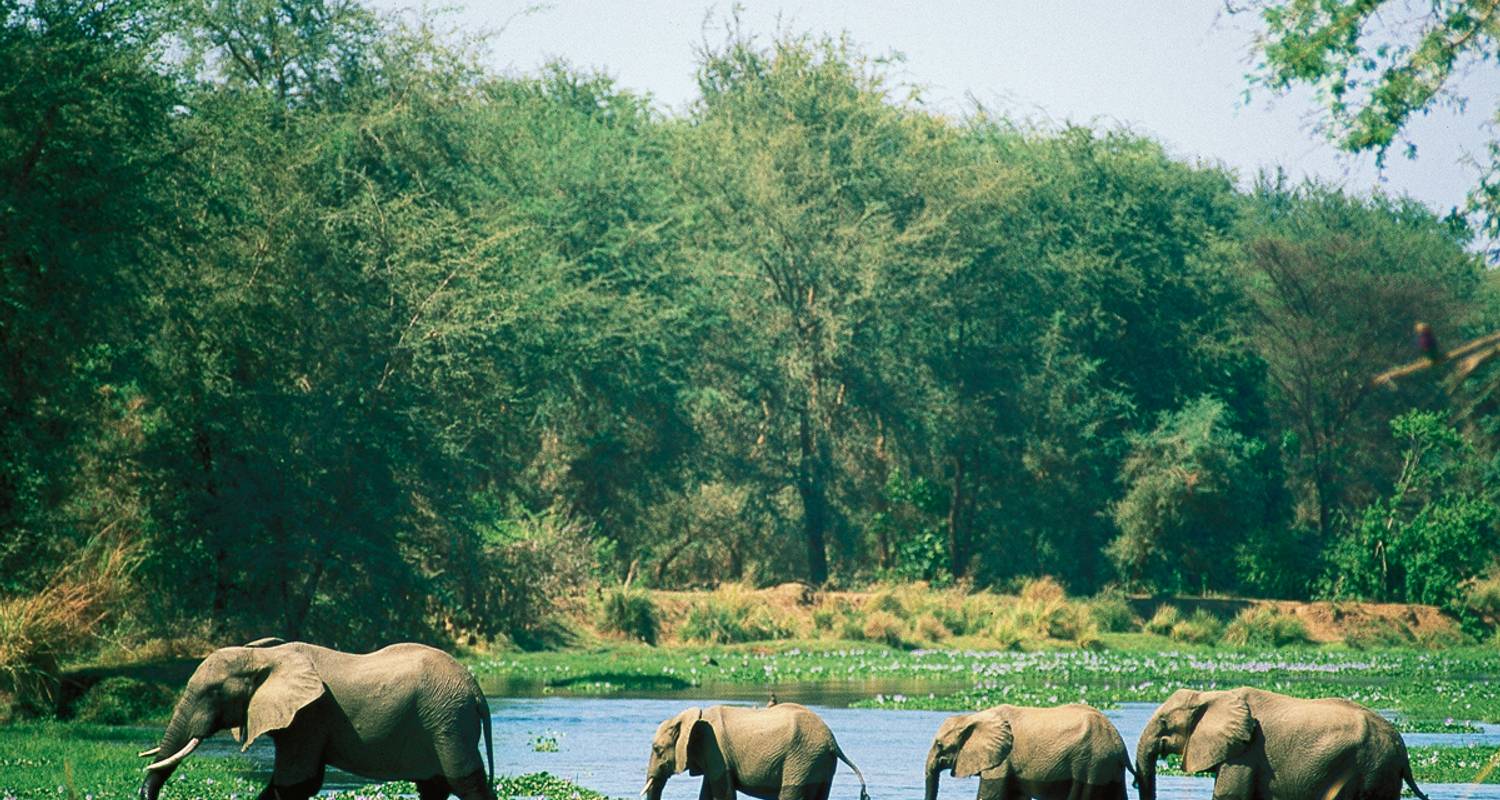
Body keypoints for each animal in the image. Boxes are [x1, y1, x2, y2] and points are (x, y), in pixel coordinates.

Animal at [137, 636, 495, 798]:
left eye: (213, 693)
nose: (145, 794)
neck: (265, 655)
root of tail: (477, 691)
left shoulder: (309, 718)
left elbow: (296, 784)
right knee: (434, 786)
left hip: (449, 721)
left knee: (465, 782)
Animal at [918, 702, 1128, 792]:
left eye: (940, 745)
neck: (973, 716)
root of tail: (1119, 741)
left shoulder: (1002, 760)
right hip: (1106, 764)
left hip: (1091, 761)